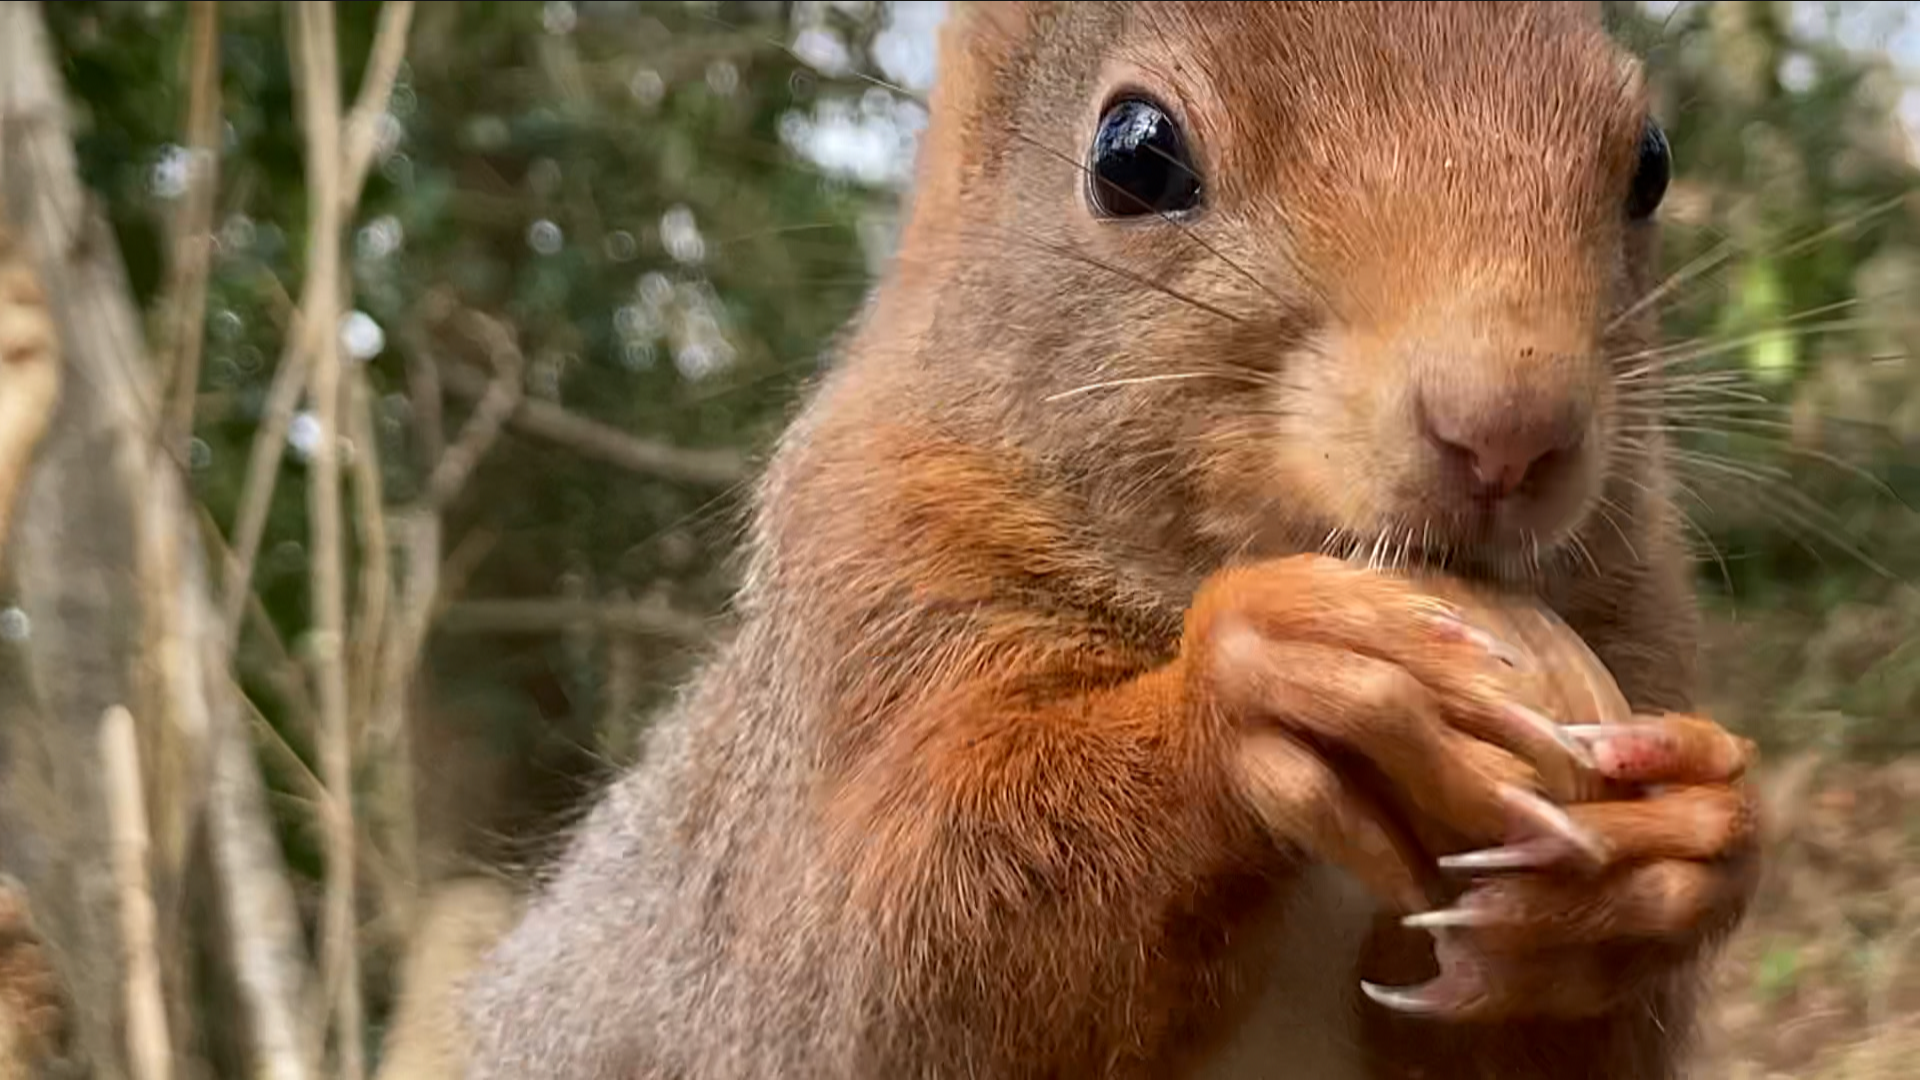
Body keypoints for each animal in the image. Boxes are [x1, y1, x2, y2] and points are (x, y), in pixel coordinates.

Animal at [460, 4, 1758, 1068]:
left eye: (1650, 162)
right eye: (1134, 154)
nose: (1511, 429)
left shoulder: (1638, 621)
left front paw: (1678, 852)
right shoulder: (867, 578)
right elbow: (889, 953)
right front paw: (1269, 681)